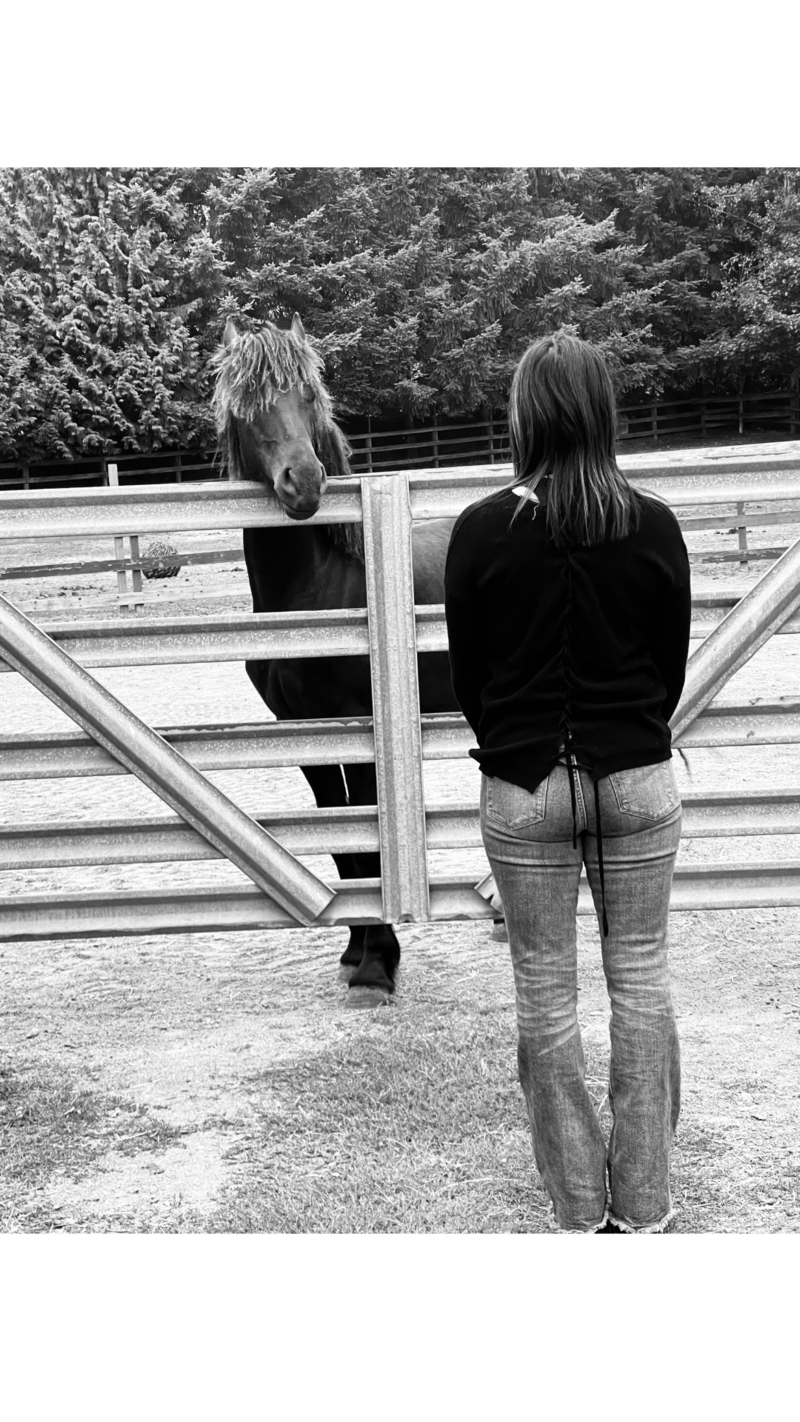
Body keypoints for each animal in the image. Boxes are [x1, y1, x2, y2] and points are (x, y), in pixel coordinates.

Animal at [212, 314, 459, 994]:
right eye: (247, 404)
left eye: (308, 396)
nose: (304, 482)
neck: (315, 592)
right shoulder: (303, 732)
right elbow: (341, 841)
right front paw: (356, 950)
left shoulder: (358, 725)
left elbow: (367, 837)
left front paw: (380, 962)